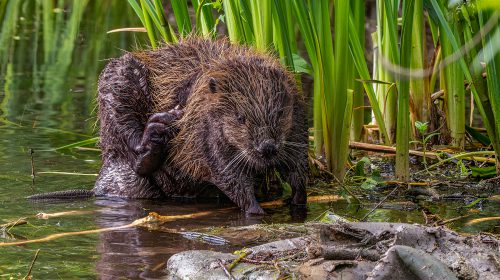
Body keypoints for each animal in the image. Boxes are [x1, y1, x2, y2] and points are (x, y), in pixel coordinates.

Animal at [32, 36, 308, 213]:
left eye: (280, 113)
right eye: (241, 118)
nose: (267, 148)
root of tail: (101, 184)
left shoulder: (298, 118)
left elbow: (297, 165)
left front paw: (298, 199)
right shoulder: (205, 129)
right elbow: (227, 173)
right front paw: (255, 211)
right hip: (119, 81)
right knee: (132, 150)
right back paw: (156, 132)